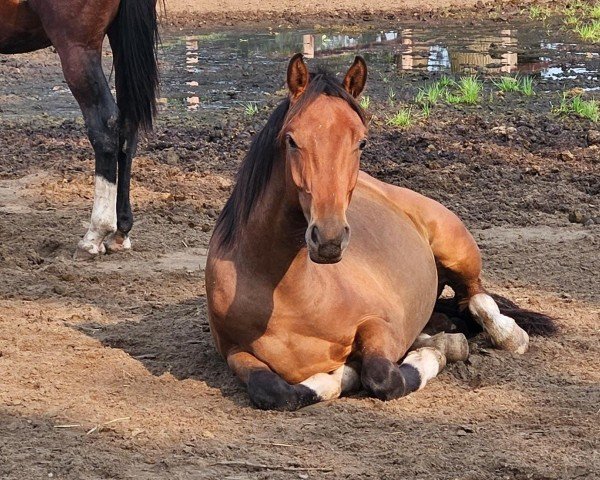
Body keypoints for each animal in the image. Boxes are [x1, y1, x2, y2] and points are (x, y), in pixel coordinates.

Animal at [207, 54, 536, 410]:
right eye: (292, 140)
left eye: (361, 142)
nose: (329, 240)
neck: (286, 294)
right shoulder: (234, 352)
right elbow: (275, 391)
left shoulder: (380, 325)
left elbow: (384, 377)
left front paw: (430, 356)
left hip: (458, 252)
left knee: (477, 300)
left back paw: (505, 336)